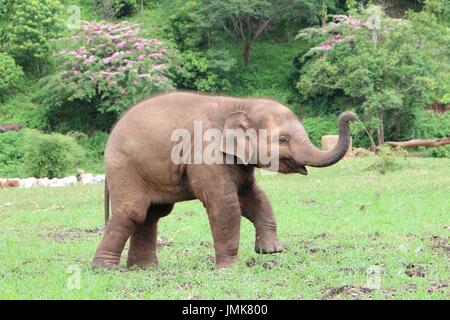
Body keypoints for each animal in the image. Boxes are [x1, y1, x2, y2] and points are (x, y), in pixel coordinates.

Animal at [92, 91, 356, 268]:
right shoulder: (205, 153)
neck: (239, 103)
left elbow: (253, 197)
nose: (350, 115)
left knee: (152, 214)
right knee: (133, 212)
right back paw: (107, 268)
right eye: (283, 140)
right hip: (126, 168)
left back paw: (145, 269)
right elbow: (225, 204)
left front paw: (271, 251)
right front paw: (228, 268)